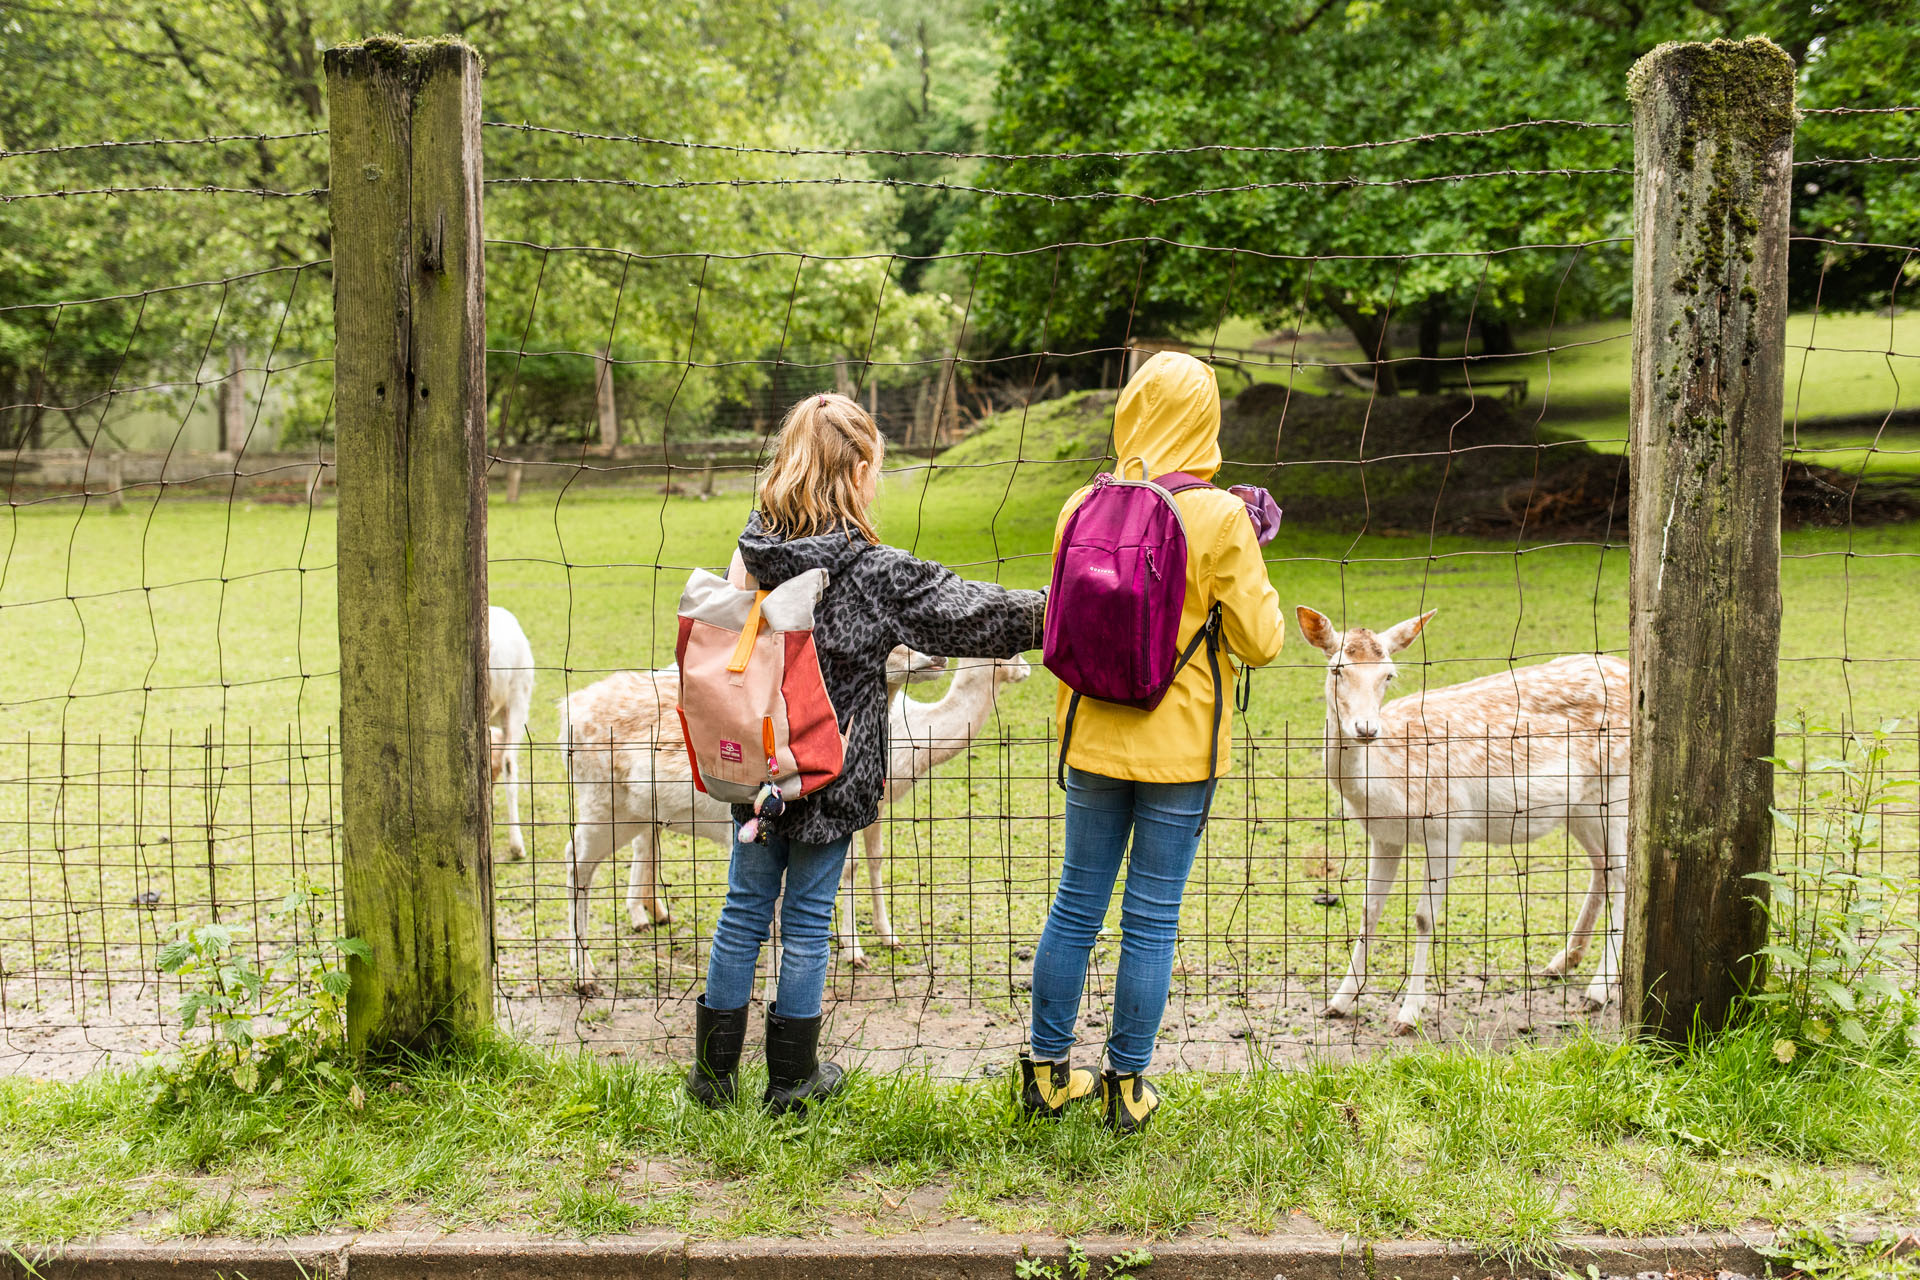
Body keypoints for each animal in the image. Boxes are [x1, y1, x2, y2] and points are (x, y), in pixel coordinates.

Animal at [556, 644, 944, 990]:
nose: (938, 656)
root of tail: (566, 712)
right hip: (602, 805)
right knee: (574, 861)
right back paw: (584, 976)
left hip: (633, 815)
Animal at [833, 656, 1029, 967]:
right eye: (1011, 655)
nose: (1027, 668)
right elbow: (850, 866)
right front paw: (854, 951)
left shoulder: (880, 805)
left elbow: (876, 859)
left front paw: (890, 936)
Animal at [1297, 606, 1628, 1036]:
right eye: (1337, 669)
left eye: (1389, 675)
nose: (1366, 729)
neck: (1388, 782)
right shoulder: (1384, 836)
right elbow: (1370, 909)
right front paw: (1337, 1002)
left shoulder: (1445, 827)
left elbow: (1423, 918)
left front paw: (1409, 1014)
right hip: (1579, 807)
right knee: (1601, 867)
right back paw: (1561, 962)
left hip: (1616, 787)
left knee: (1621, 874)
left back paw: (1599, 990)